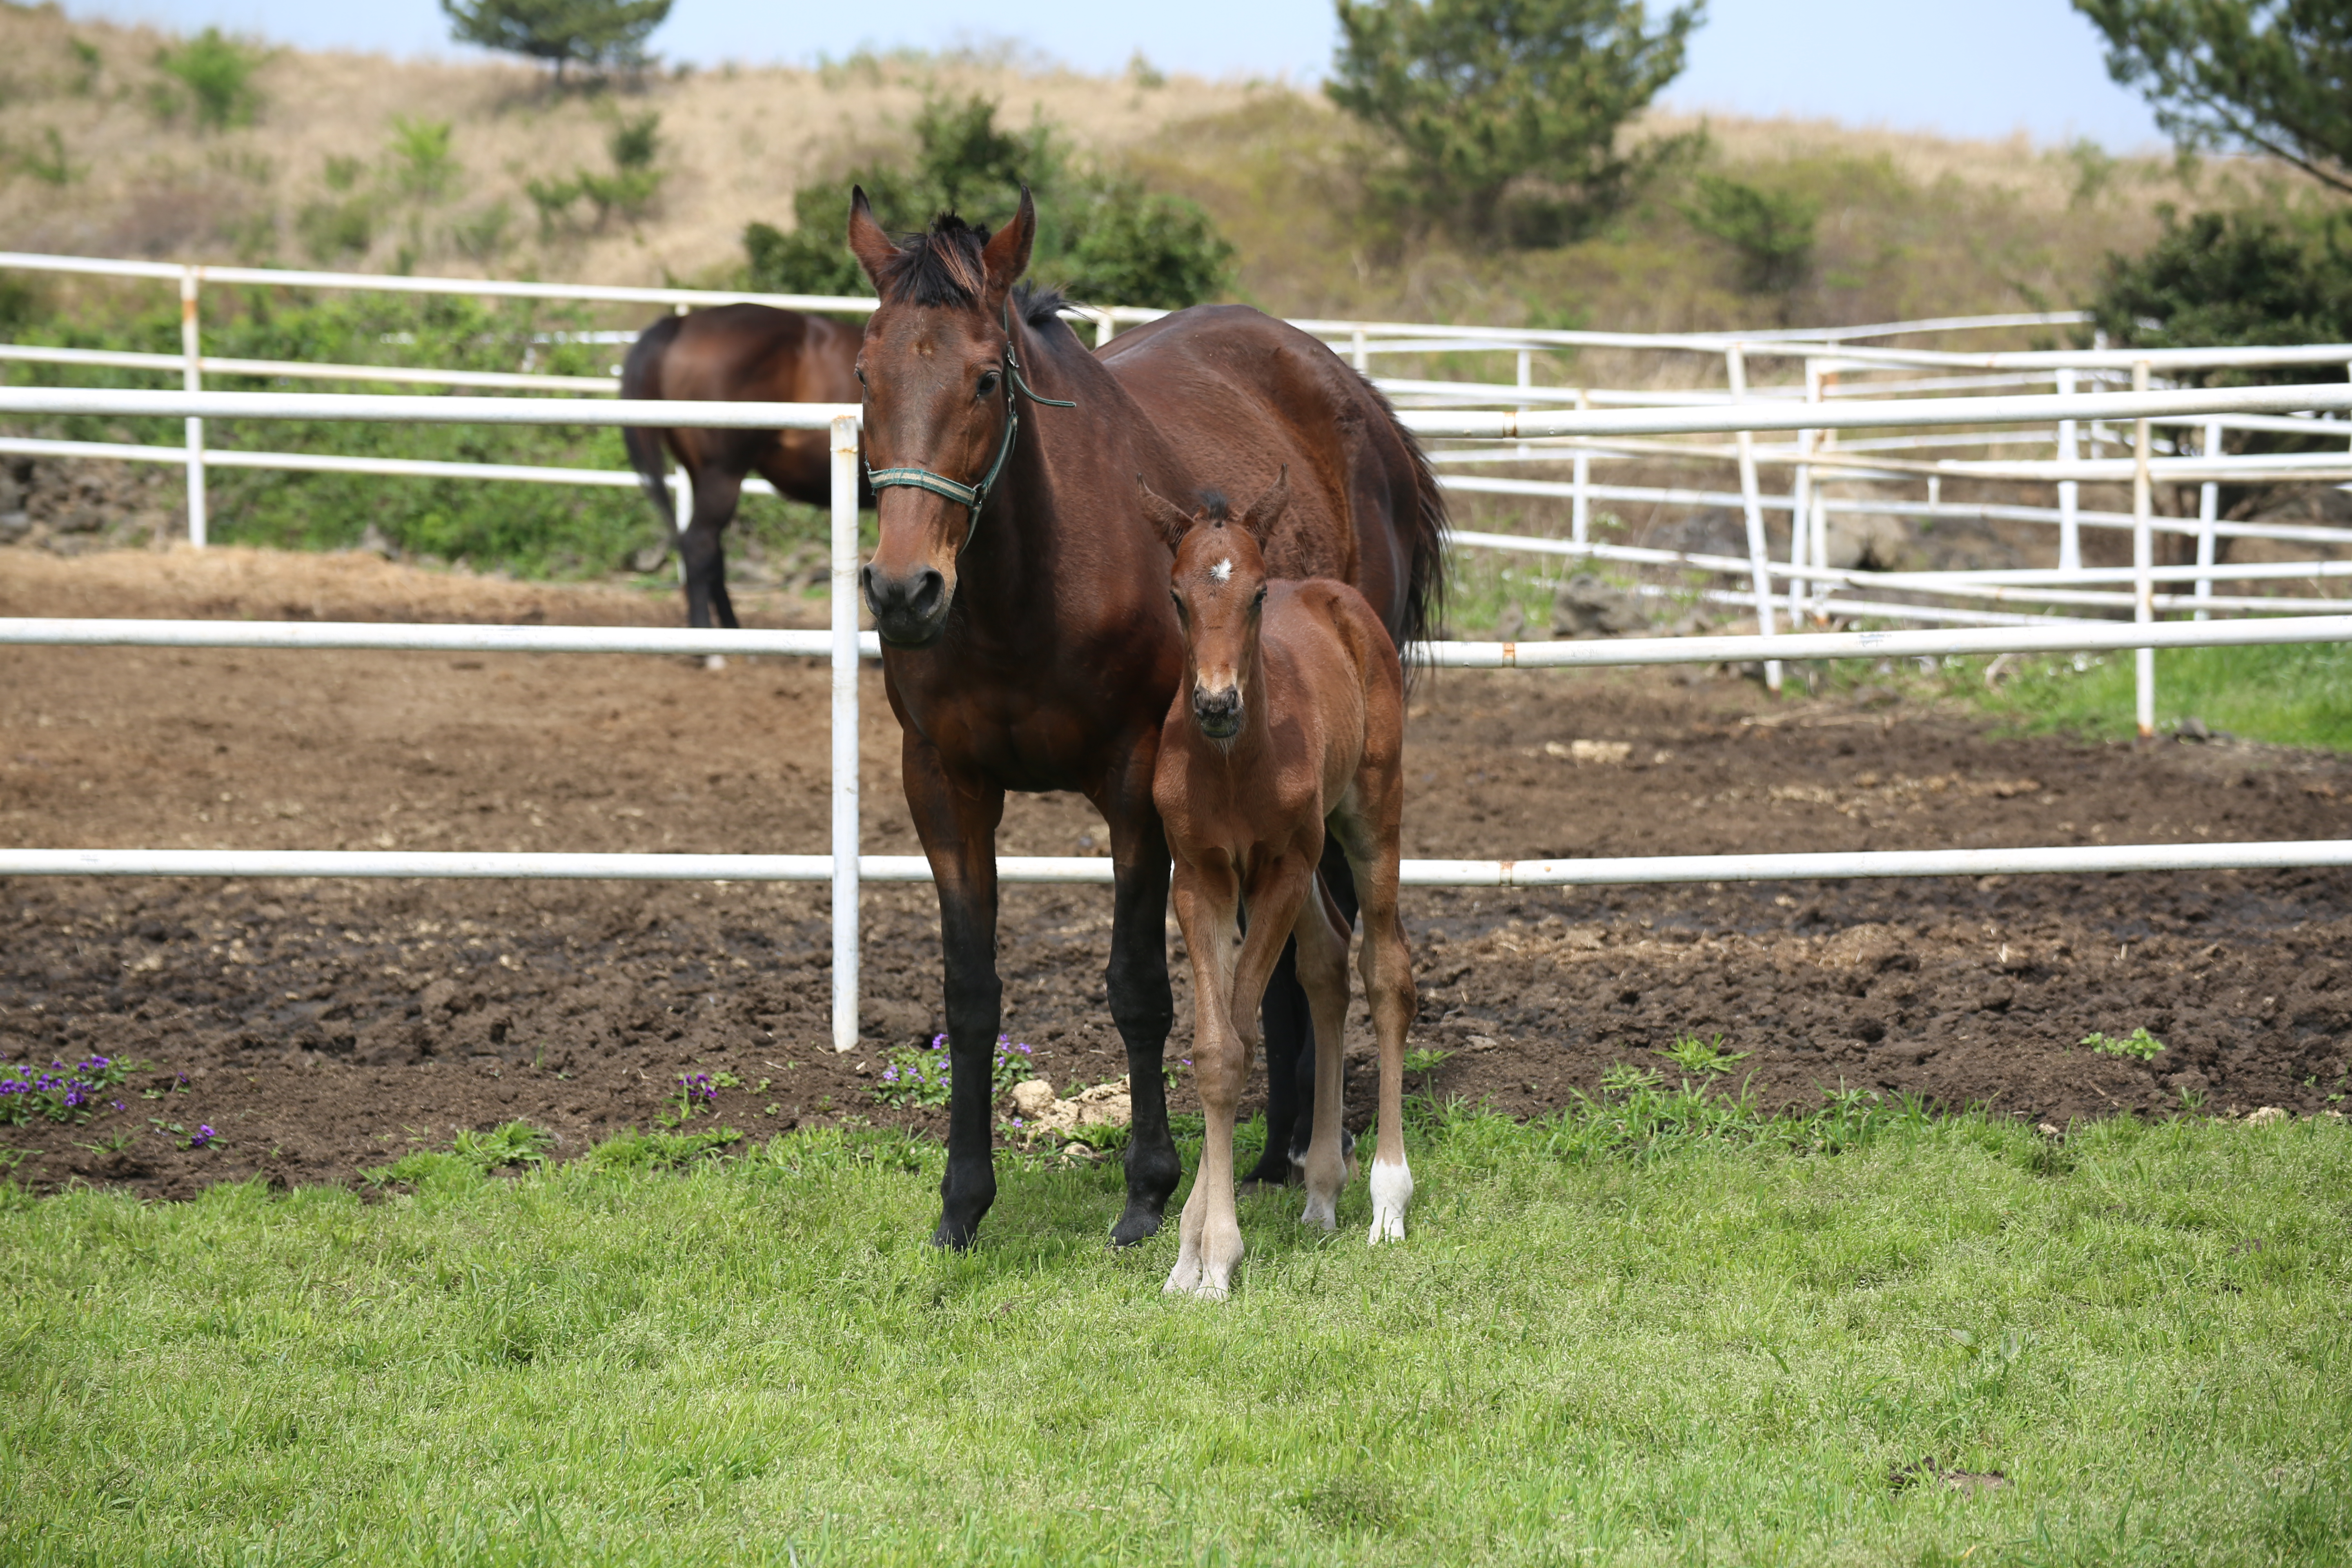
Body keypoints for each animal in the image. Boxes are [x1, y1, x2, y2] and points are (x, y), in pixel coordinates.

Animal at [1143, 474, 1411, 1297]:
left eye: (1258, 594)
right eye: (1177, 596)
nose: (1216, 703)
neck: (1235, 763)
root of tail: (1341, 598)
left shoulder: (1283, 870)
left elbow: (1239, 1036)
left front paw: (1217, 1255)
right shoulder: (1199, 879)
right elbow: (1216, 1048)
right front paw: (1189, 1257)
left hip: (1369, 816)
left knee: (1385, 970)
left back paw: (1387, 1200)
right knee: (1326, 963)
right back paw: (1322, 1191)